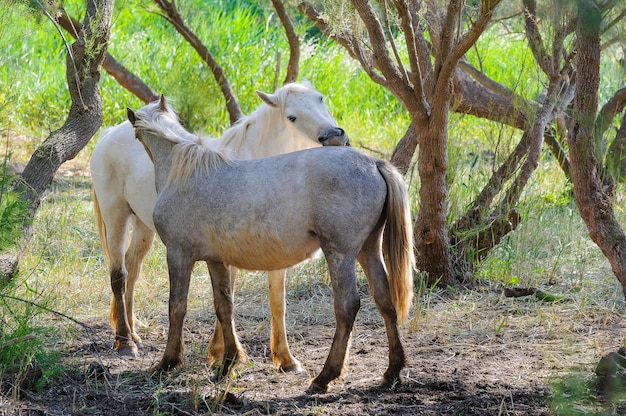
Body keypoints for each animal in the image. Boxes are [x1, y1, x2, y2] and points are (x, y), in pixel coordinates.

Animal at [90, 81, 348, 370]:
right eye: (292, 117)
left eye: (321, 99)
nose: (335, 137)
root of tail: (109, 133)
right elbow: (226, 298)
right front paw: (219, 352)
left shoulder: (275, 255)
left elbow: (276, 302)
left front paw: (285, 358)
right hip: (116, 217)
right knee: (119, 275)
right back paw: (125, 342)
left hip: (144, 228)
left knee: (133, 269)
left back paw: (134, 333)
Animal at [126, 96, 412, 392]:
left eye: (135, 134)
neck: (184, 171)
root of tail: (373, 163)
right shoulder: (216, 260)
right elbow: (224, 307)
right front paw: (228, 363)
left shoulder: (178, 255)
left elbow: (177, 307)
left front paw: (168, 362)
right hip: (368, 250)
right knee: (385, 301)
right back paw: (392, 371)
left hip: (340, 254)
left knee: (347, 307)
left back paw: (324, 377)